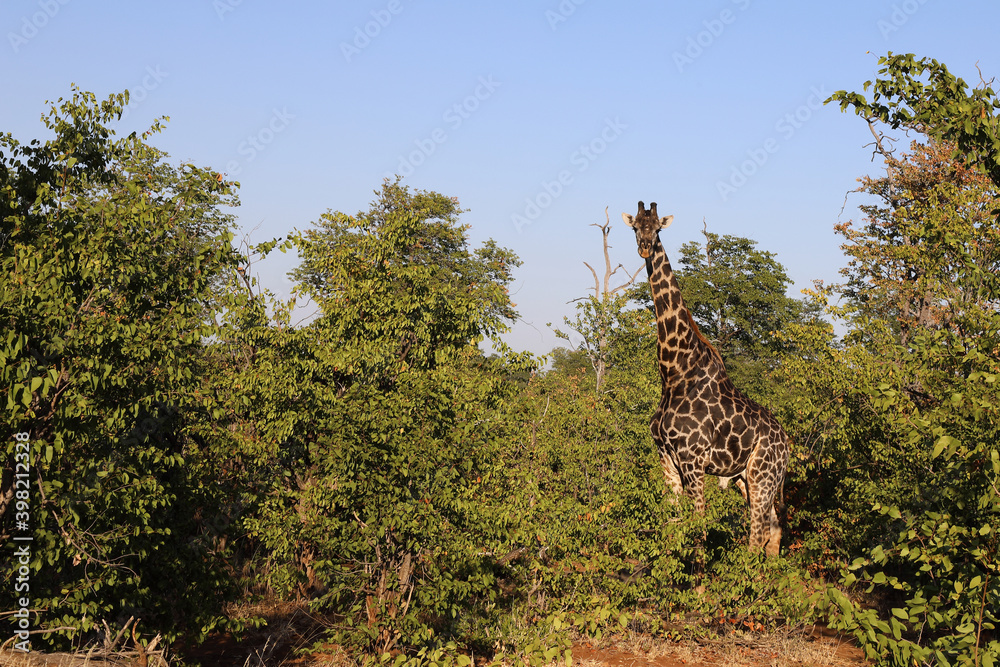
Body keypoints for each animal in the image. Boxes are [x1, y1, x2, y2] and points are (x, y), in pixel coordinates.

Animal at [622, 201, 789, 556]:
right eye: (635, 227)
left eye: (657, 228)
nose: (645, 247)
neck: (674, 372)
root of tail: (788, 447)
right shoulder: (667, 460)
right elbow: (672, 525)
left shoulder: (693, 460)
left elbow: (697, 529)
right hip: (745, 479)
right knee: (771, 531)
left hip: (762, 475)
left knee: (757, 534)